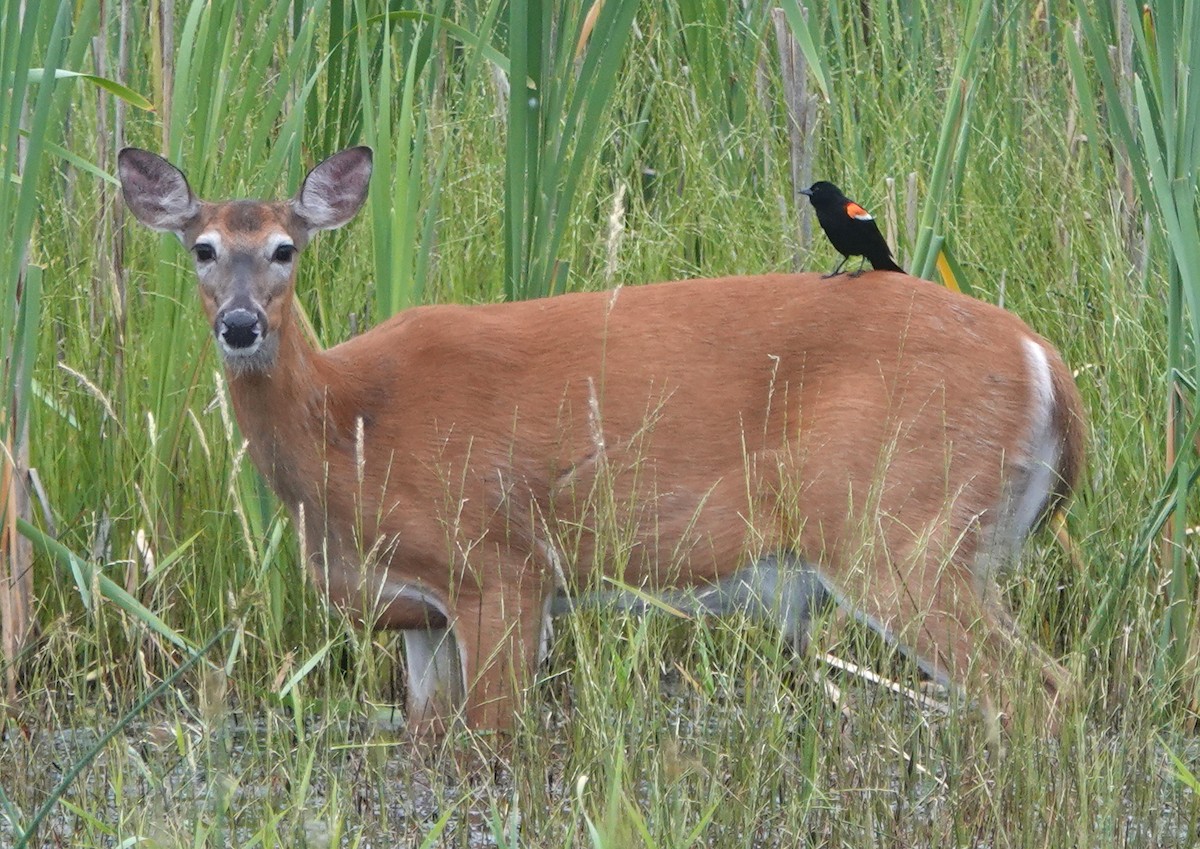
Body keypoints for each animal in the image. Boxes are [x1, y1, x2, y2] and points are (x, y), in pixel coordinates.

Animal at [119, 147, 1089, 743]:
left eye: (286, 248)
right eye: (202, 248)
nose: (240, 325)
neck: (353, 428)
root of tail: (1045, 360)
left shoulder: (503, 566)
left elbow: (492, 745)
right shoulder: (419, 613)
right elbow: (430, 747)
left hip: (900, 529)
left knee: (1039, 691)